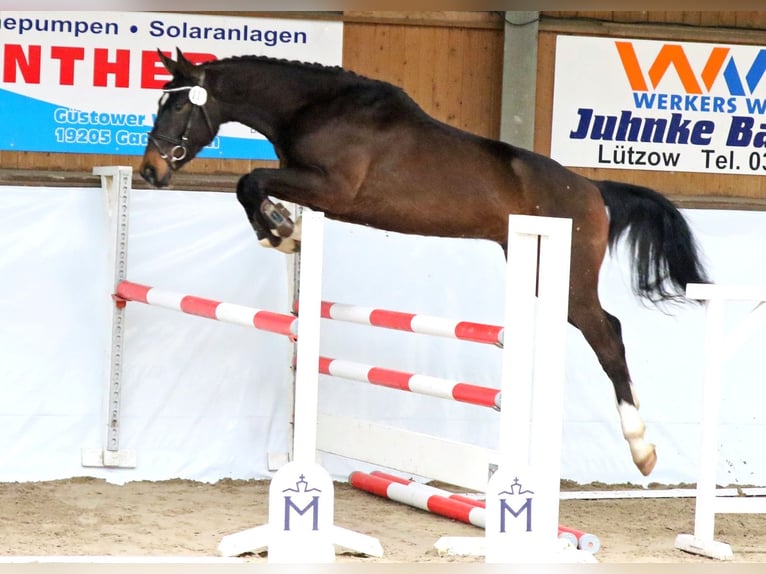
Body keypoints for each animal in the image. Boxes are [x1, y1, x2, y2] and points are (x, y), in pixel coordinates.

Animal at [139, 48, 710, 477]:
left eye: (175, 108)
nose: (149, 172)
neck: (316, 108)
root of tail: (593, 189)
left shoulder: (331, 189)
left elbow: (250, 180)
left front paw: (281, 231)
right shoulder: (314, 189)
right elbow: (252, 186)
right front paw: (286, 230)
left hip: (568, 279)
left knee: (608, 335)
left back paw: (642, 449)